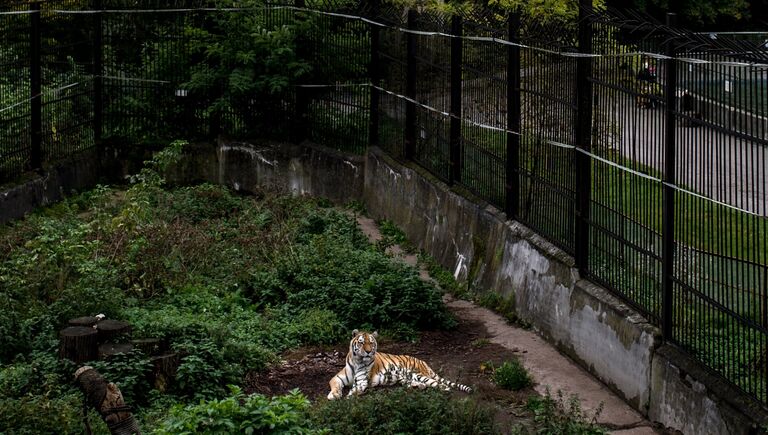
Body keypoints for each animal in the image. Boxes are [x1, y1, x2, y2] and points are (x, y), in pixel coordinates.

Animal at [326, 328, 472, 400]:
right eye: (361, 342)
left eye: (371, 343)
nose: (368, 352)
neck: (358, 361)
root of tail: (424, 362)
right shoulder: (337, 377)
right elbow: (334, 385)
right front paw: (334, 394)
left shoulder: (362, 381)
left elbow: (355, 389)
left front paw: (349, 396)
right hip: (406, 378)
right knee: (419, 383)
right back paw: (418, 386)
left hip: (419, 374)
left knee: (442, 385)